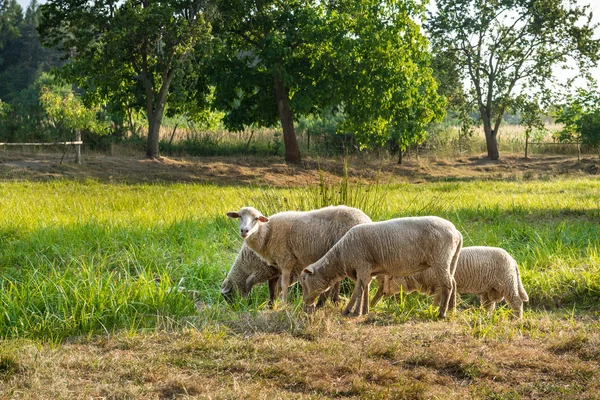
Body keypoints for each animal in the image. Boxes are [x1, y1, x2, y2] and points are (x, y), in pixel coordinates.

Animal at [227, 205, 372, 302]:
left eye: (256, 219)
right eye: (239, 216)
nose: (244, 231)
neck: (268, 232)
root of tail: (367, 220)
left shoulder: (286, 260)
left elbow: (283, 284)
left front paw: (283, 303)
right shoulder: (278, 266)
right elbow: (275, 286)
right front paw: (273, 303)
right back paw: (336, 300)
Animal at [300, 216, 464, 318]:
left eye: (304, 281)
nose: (305, 303)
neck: (340, 257)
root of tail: (456, 232)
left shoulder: (362, 265)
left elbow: (358, 289)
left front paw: (353, 312)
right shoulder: (369, 270)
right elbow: (364, 288)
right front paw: (364, 310)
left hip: (441, 259)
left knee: (447, 285)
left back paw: (441, 313)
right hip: (451, 259)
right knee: (453, 282)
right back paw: (452, 310)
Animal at [370, 245, 528, 318]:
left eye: (390, 278)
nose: (384, 292)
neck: (421, 274)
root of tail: (513, 261)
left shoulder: (440, 287)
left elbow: (437, 301)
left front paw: (433, 310)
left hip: (507, 282)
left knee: (516, 301)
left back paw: (517, 318)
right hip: (490, 289)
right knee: (489, 305)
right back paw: (484, 316)